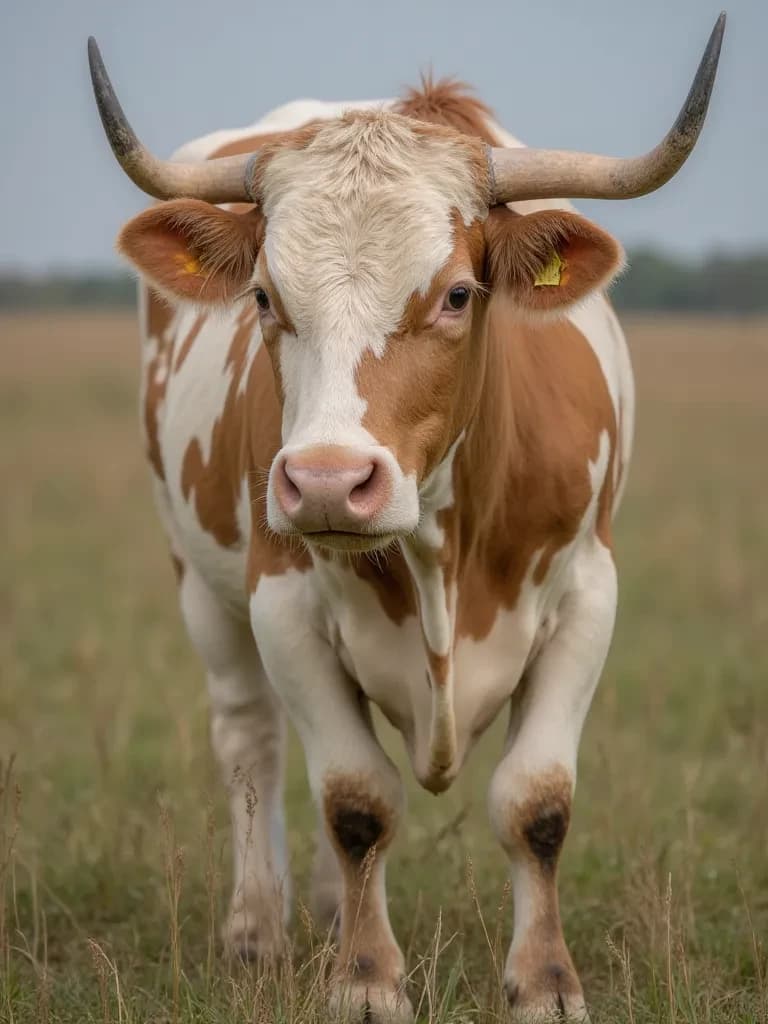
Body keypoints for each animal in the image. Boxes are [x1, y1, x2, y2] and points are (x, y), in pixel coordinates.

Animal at [88, 16, 724, 1022]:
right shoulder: (281, 605)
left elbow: (536, 802)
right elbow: (357, 800)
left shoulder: (589, 595)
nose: (324, 482)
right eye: (265, 297)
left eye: (458, 293)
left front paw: (547, 983)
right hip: (202, 587)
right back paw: (259, 930)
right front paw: (366, 981)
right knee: (251, 742)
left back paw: (321, 912)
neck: (440, 555)